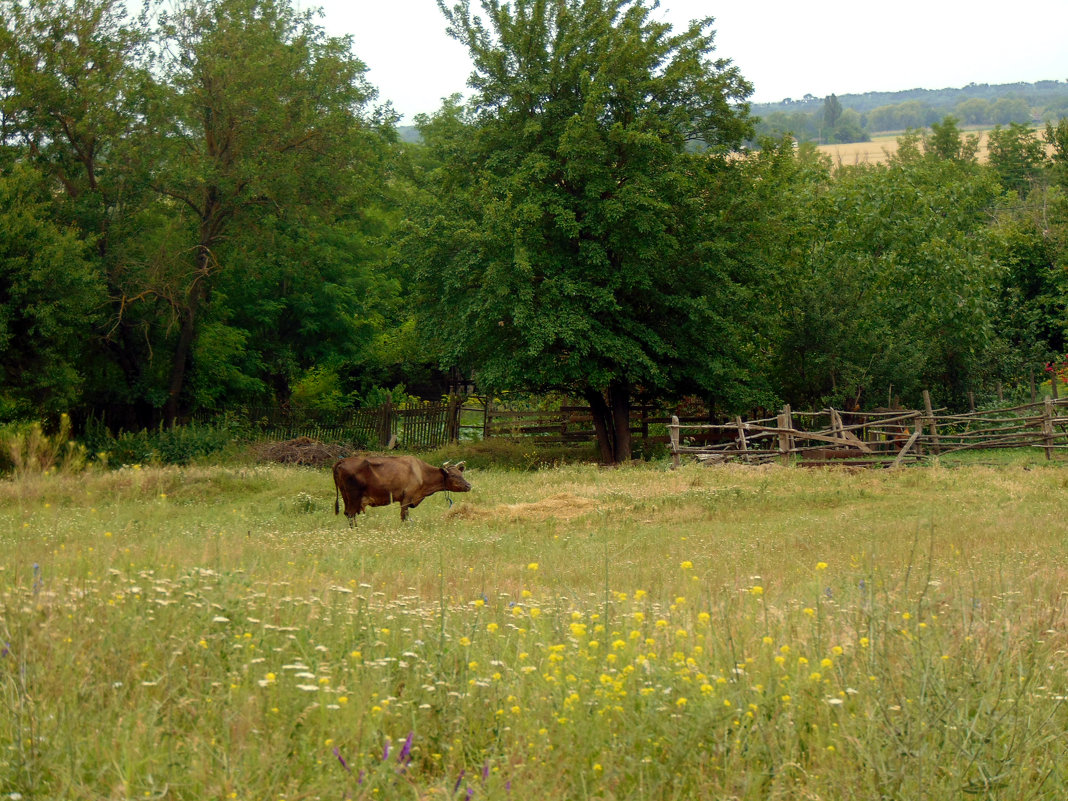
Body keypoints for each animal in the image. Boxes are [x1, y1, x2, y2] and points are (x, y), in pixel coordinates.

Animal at [331, 457, 469, 527]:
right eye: (453, 475)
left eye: (461, 473)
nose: (469, 485)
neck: (421, 472)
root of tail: (343, 461)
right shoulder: (407, 497)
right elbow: (404, 515)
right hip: (353, 496)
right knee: (350, 513)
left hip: (346, 496)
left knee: (348, 513)